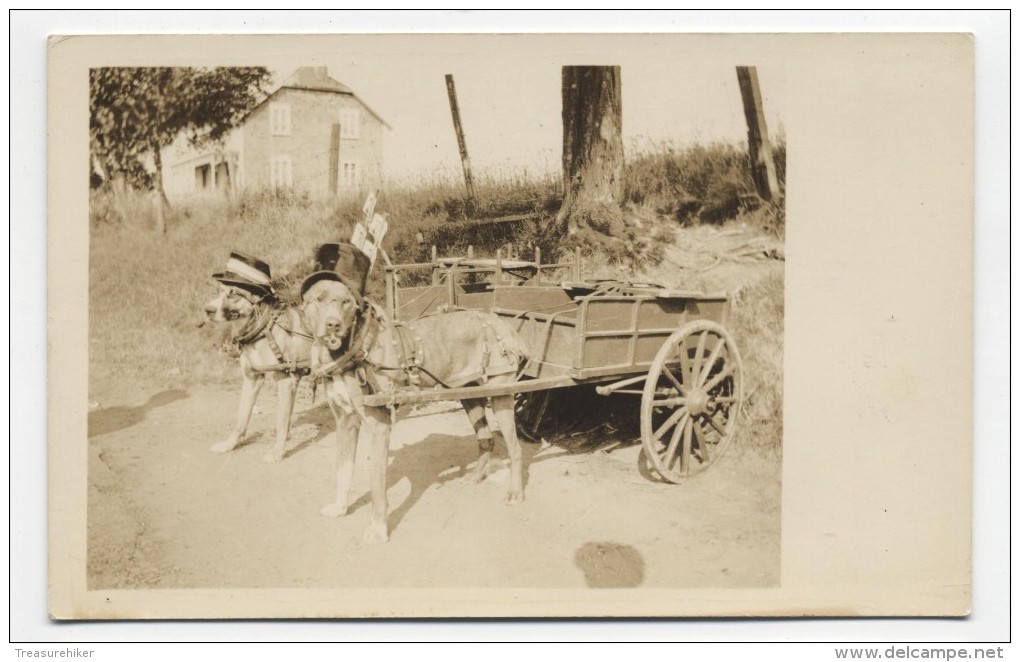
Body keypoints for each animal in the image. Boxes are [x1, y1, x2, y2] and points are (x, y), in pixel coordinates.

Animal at [198, 250, 310, 463]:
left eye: (233, 294)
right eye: (218, 291)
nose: (207, 310)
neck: (263, 328)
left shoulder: (286, 381)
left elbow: (282, 422)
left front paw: (277, 452)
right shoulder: (252, 378)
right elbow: (241, 418)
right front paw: (230, 444)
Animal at [299, 273, 526, 542]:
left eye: (346, 302)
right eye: (318, 300)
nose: (333, 325)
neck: (353, 349)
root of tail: (499, 322)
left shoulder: (378, 426)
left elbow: (377, 483)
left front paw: (378, 528)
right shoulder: (345, 421)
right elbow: (343, 470)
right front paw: (340, 508)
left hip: (501, 394)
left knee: (515, 448)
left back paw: (515, 493)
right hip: (469, 394)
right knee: (486, 438)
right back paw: (476, 475)